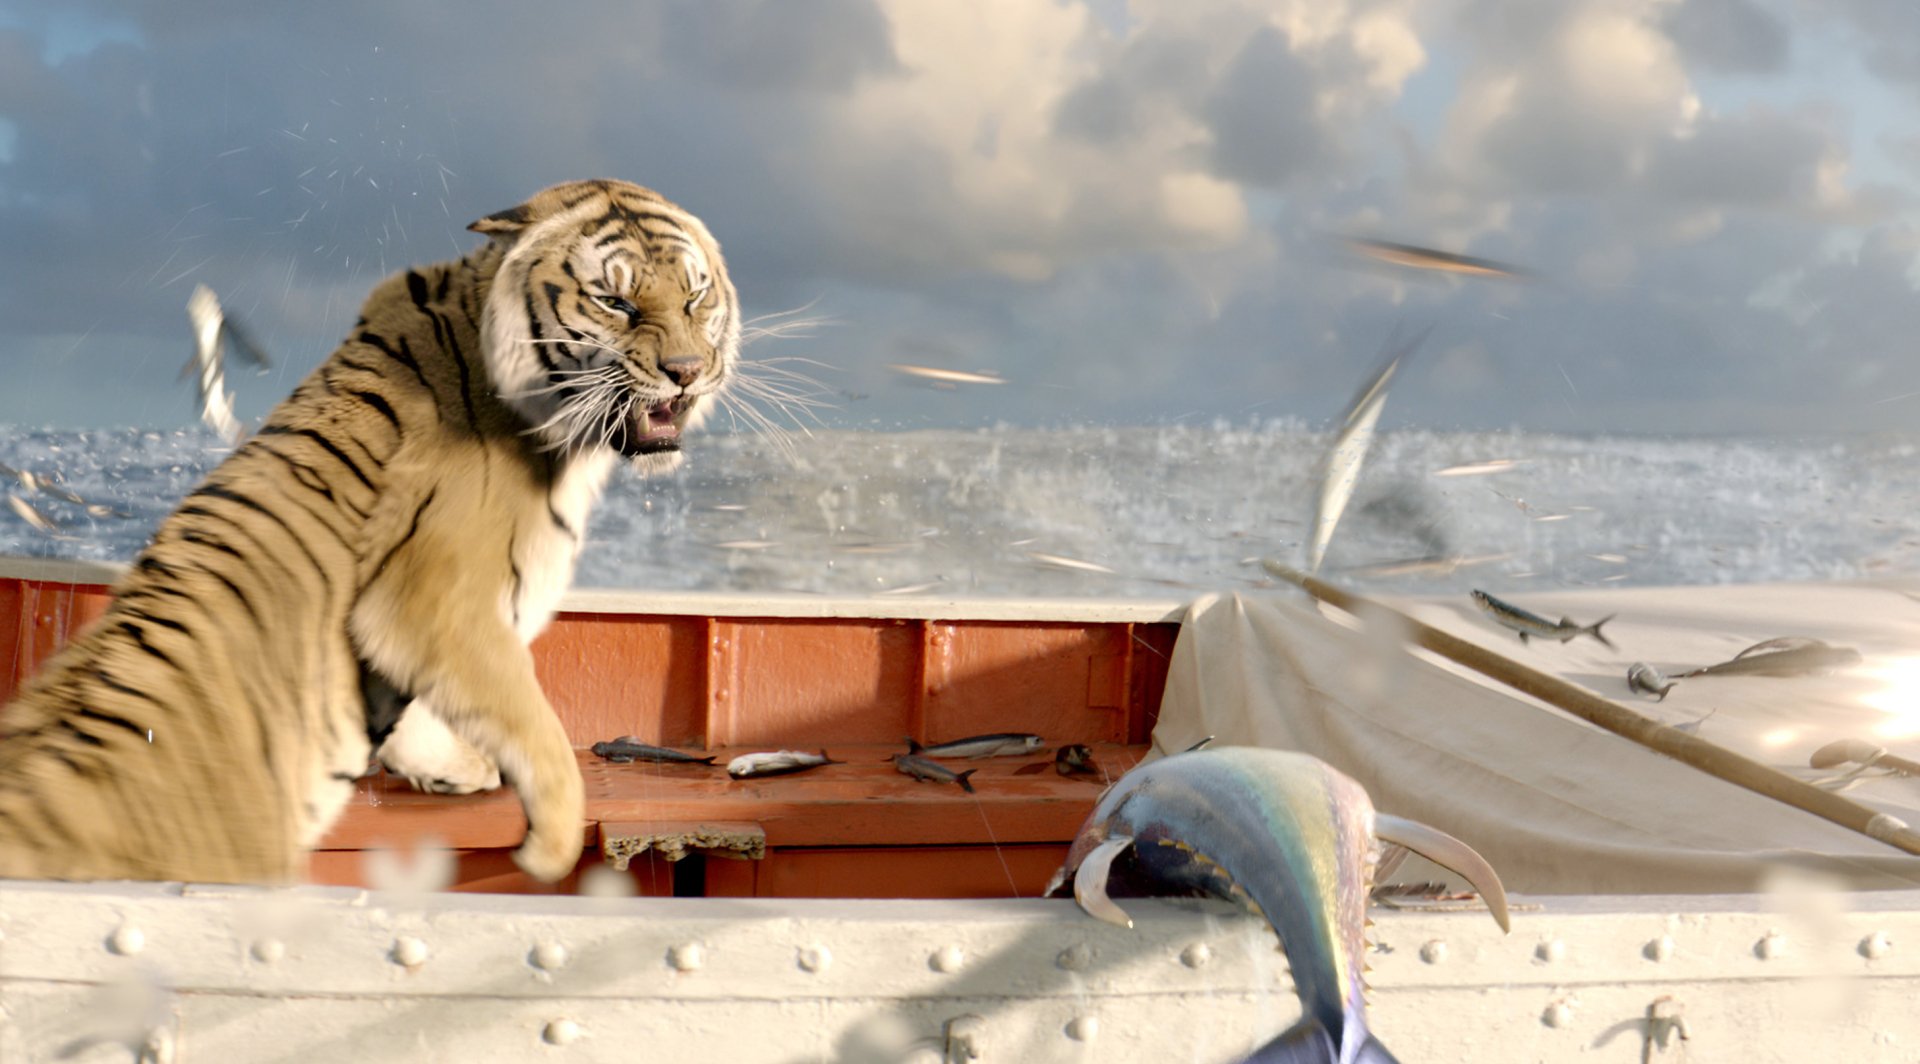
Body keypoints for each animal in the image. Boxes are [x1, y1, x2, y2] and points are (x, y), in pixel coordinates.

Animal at [0, 178, 739, 883]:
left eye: (695, 296)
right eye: (615, 303)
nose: (686, 371)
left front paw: (450, 767)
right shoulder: (432, 605)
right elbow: (535, 721)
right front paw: (550, 849)